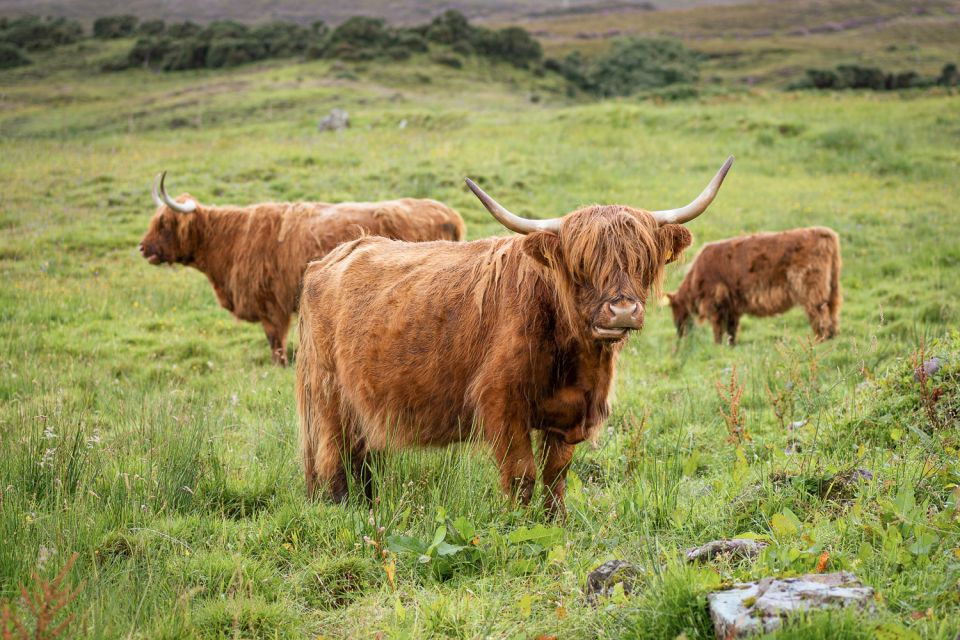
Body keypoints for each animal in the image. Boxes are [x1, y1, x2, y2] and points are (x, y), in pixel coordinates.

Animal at [139, 172, 464, 364]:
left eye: (163, 222)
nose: (142, 248)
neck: (230, 240)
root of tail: (448, 213)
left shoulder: (271, 305)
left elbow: (275, 344)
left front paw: (278, 366)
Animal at [296, 156, 732, 516]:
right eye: (581, 265)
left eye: (642, 261)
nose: (622, 311)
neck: (577, 361)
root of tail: (331, 258)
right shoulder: (502, 404)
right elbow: (523, 475)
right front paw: (517, 524)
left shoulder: (568, 414)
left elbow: (556, 476)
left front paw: (555, 521)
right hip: (330, 395)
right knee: (334, 456)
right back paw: (346, 509)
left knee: (361, 458)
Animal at [668, 226, 840, 344]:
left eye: (674, 308)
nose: (679, 332)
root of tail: (824, 232)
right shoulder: (731, 307)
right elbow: (731, 329)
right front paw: (730, 346)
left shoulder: (716, 302)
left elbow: (718, 328)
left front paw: (717, 346)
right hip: (832, 287)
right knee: (832, 311)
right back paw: (832, 337)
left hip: (812, 289)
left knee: (820, 313)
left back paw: (821, 339)